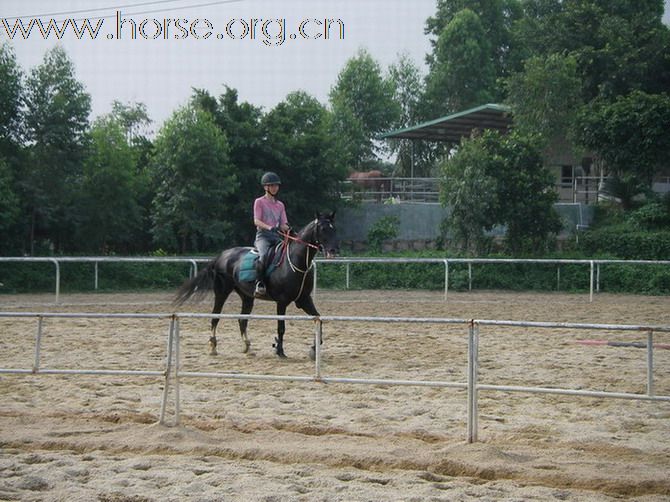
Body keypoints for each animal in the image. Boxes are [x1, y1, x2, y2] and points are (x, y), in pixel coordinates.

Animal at [175, 212, 342, 360]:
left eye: (334, 228)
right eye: (323, 228)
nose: (333, 250)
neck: (296, 262)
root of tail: (222, 256)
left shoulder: (304, 299)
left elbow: (318, 319)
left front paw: (314, 349)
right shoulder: (282, 302)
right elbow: (281, 328)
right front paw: (280, 351)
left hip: (247, 297)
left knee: (242, 320)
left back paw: (248, 348)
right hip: (222, 293)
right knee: (215, 317)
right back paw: (213, 347)